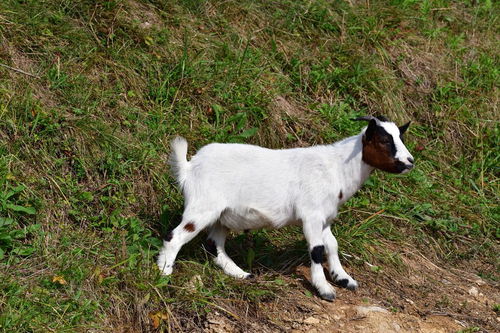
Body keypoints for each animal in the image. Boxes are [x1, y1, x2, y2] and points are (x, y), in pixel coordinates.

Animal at [157, 115, 414, 300]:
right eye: (384, 140)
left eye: (400, 137)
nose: (410, 161)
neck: (336, 168)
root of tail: (189, 167)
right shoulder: (311, 214)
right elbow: (317, 250)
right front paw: (325, 290)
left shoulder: (325, 217)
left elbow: (332, 245)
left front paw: (343, 279)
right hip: (202, 207)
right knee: (175, 237)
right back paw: (164, 274)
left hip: (222, 215)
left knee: (214, 245)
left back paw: (241, 273)